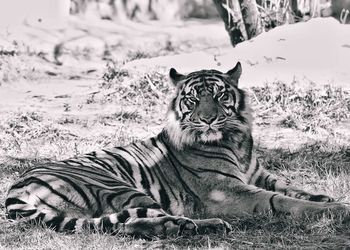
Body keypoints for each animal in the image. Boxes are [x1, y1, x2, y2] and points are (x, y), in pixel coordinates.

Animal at [4, 62, 348, 238]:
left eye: (220, 96)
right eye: (193, 99)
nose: (208, 119)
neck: (234, 140)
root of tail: (14, 189)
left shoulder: (258, 174)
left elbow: (294, 188)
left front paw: (326, 197)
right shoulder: (228, 192)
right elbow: (283, 200)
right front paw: (338, 209)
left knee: (125, 225)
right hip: (117, 187)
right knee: (131, 222)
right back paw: (201, 225)